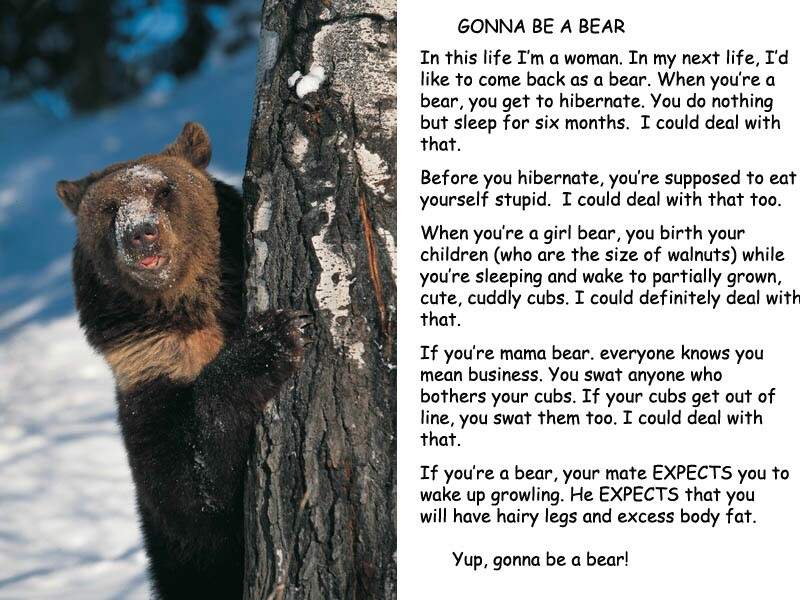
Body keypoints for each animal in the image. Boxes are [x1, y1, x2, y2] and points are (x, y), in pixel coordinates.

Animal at [55, 122, 310, 599]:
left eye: (164, 190)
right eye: (109, 208)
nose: (141, 233)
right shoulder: (150, 375)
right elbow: (190, 490)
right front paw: (272, 338)